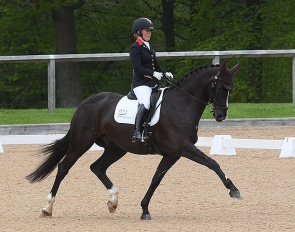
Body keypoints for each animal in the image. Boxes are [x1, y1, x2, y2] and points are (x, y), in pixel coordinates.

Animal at [26, 59, 242, 219]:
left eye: (231, 89)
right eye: (220, 87)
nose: (221, 116)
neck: (182, 104)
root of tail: (85, 103)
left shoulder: (172, 154)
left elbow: (156, 179)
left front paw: (144, 209)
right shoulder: (183, 148)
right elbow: (212, 163)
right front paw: (233, 190)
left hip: (116, 148)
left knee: (97, 167)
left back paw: (113, 202)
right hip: (81, 142)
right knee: (64, 167)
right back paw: (47, 208)